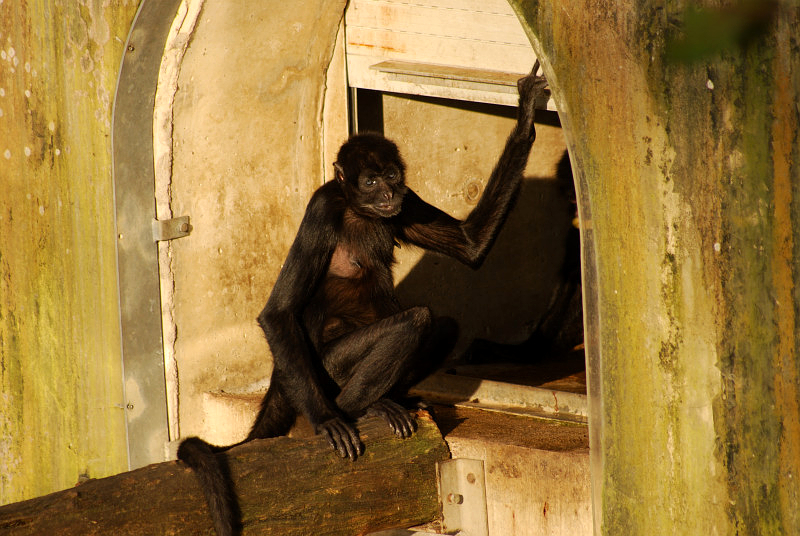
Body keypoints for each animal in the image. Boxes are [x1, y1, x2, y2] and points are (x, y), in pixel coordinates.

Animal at [177, 62, 548, 536]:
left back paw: (396, 400)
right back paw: (363, 409)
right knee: (418, 319)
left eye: (391, 178)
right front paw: (327, 422)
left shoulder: (408, 200)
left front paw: (526, 114)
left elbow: (471, 245)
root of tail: (282, 375)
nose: (387, 195)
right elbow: (278, 312)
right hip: (326, 368)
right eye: (369, 182)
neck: (358, 210)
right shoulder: (321, 208)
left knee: (442, 324)